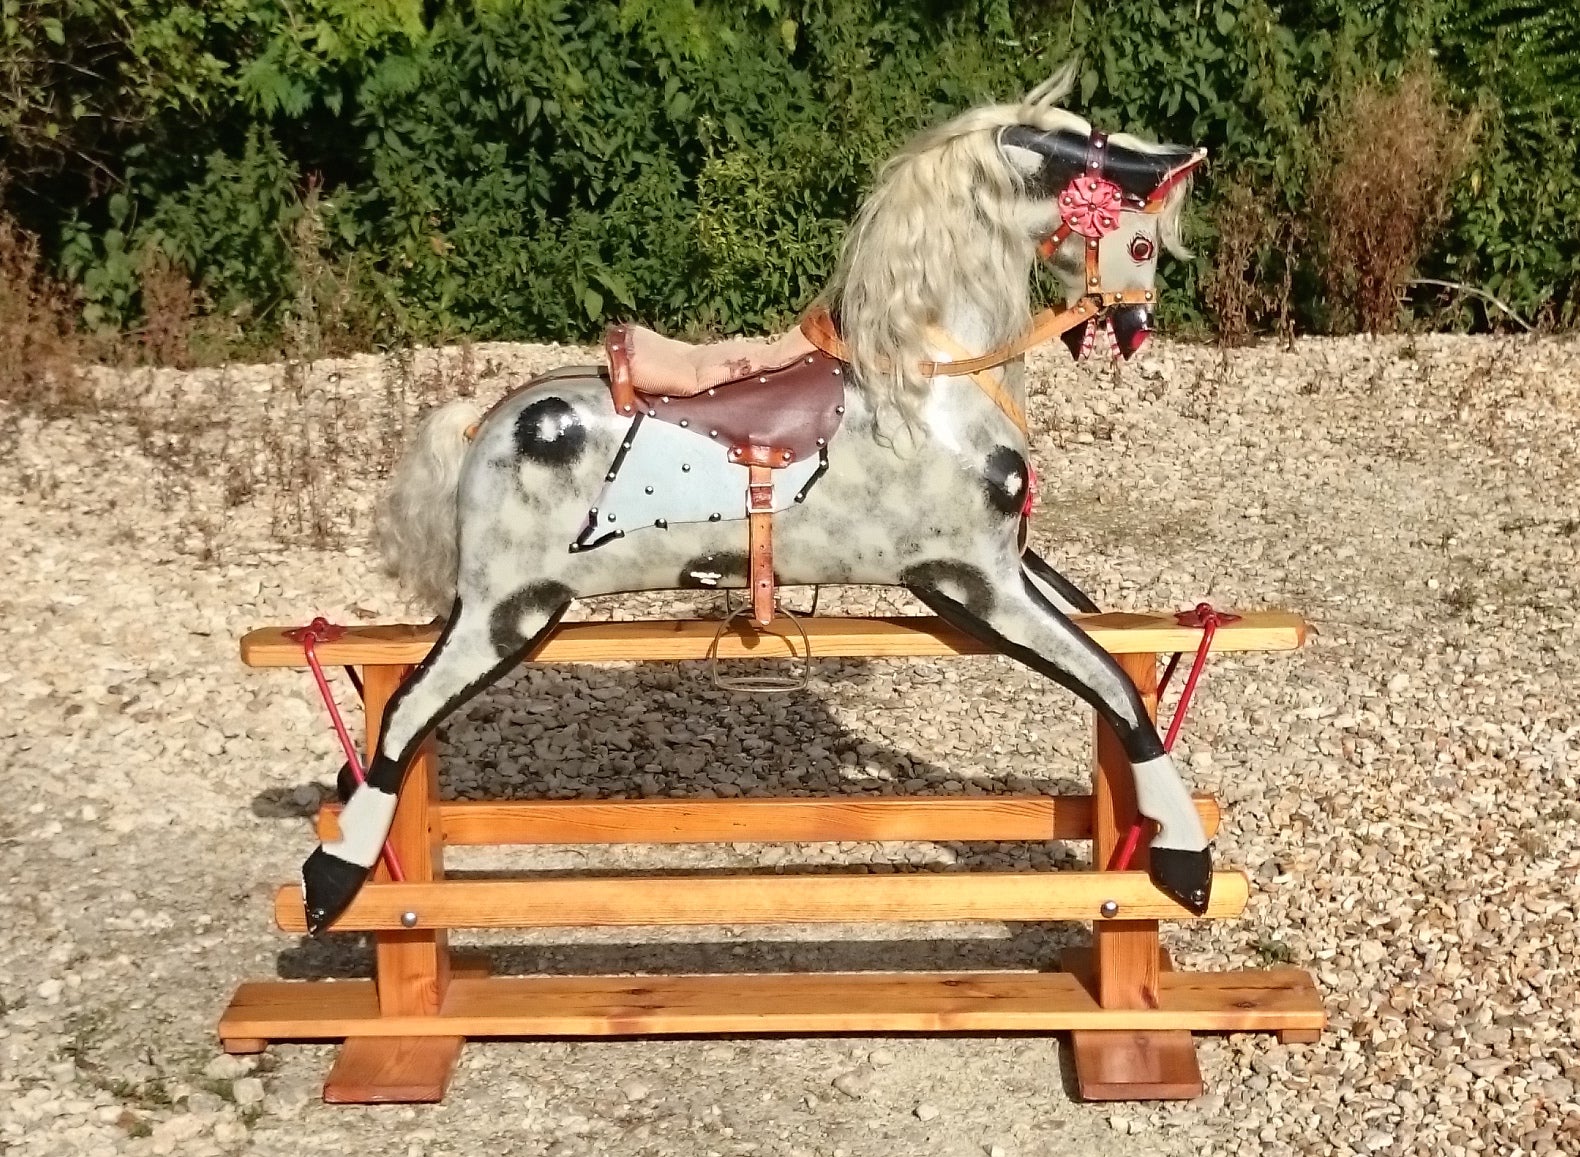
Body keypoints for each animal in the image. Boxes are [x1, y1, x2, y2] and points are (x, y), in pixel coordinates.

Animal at [301, 68, 1216, 933]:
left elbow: (1106, 638)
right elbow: (1113, 687)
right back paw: (330, 877)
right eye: (1139, 237)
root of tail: (485, 423)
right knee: (402, 715)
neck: (923, 384)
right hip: (505, 608)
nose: (1134, 325)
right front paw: (1185, 857)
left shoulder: (1007, 566)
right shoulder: (969, 577)